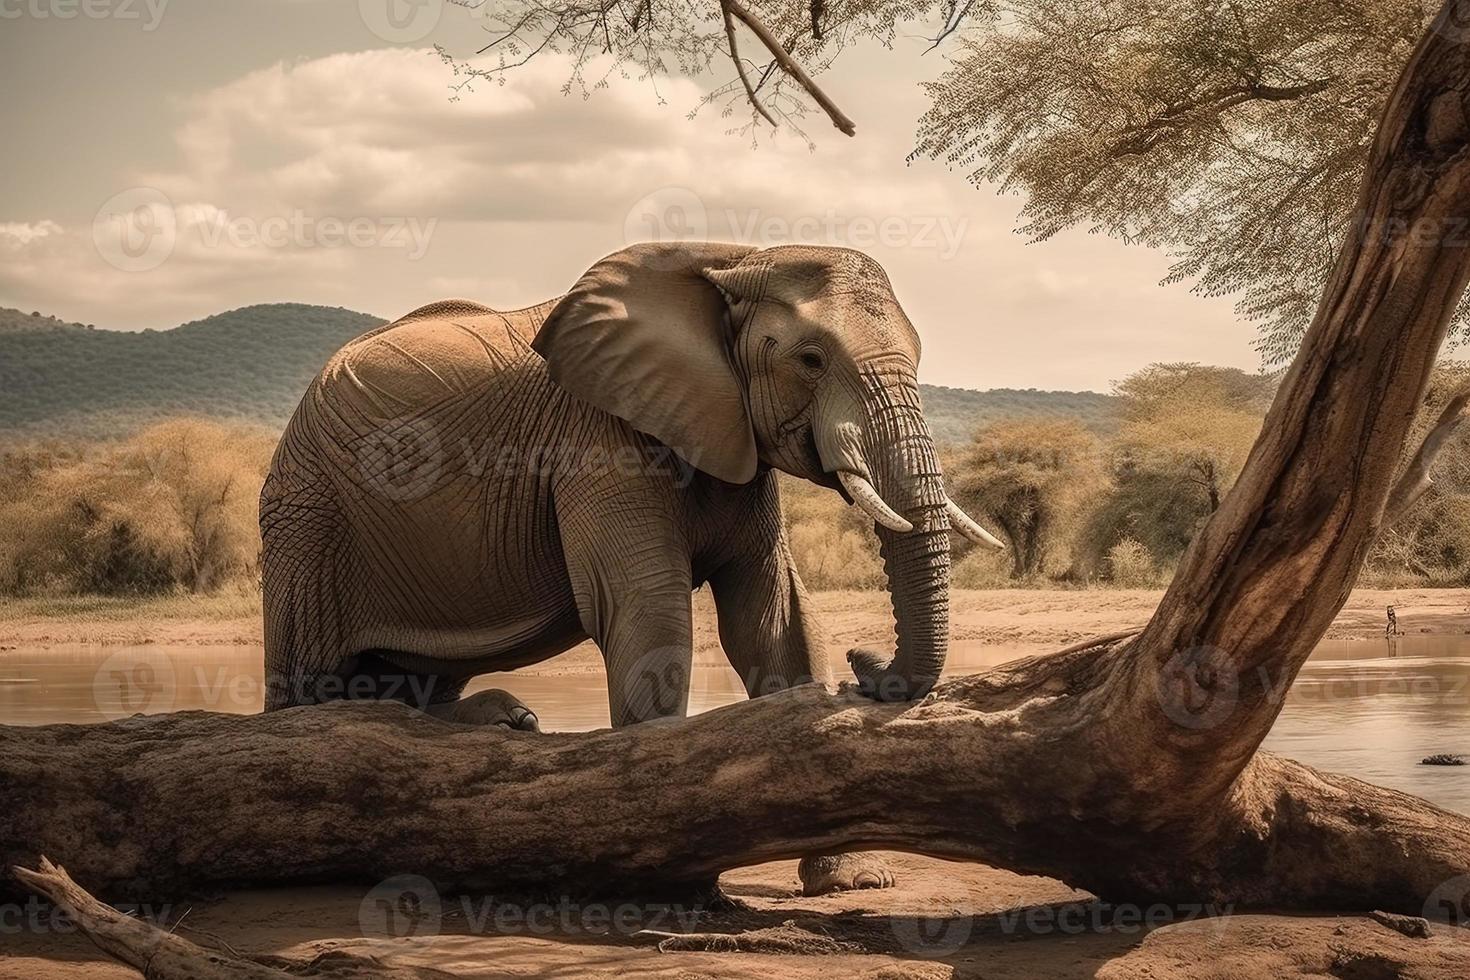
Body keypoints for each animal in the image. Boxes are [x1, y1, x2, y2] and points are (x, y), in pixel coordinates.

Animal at [258, 239, 1005, 899]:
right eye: (811, 359)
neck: (737, 258)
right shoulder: (599, 436)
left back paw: (505, 723)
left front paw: (853, 880)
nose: (864, 664)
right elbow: (650, 607)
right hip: (308, 515)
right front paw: (662, 875)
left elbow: (770, 614)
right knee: (310, 685)